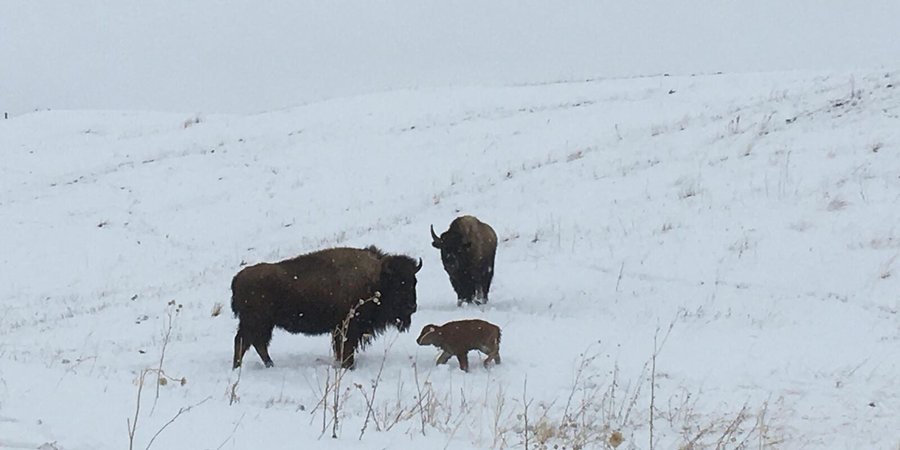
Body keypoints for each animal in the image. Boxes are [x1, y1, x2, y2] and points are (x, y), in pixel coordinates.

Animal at [231, 246, 422, 370]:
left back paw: (268, 365)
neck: (376, 280)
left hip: (262, 324)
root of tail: (238, 278)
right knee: (244, 342)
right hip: (256, 323)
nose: (412, 307)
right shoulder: (347, 328)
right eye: (398, 284)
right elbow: (345, 348)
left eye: (414, 281)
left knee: (256, 343)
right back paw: (241, 367)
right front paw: (348, 366)